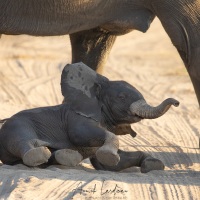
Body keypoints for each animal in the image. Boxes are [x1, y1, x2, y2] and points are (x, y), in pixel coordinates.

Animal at [0, 63, 179, 173]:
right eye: (121, 97)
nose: (176, 102)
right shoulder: (75, 117)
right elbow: (80, 134)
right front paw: (109, 155)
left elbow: (110, 164)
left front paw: (153, 164)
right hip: (15, 126)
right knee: (23, 141)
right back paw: (42, 154)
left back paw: (66, 156)